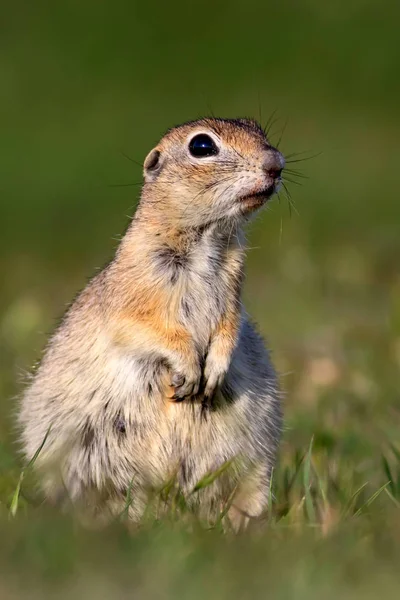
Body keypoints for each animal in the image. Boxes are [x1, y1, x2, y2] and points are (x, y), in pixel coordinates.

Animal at [19, 117, 284, 528]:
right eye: (202, 146)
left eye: (259, 130)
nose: (276, 164)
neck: (208, 239)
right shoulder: (133, 294)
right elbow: (144, 328)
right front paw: (189, 370)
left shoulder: (233, 297)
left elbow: (229, 328)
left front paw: (214, 372)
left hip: (255, 462)